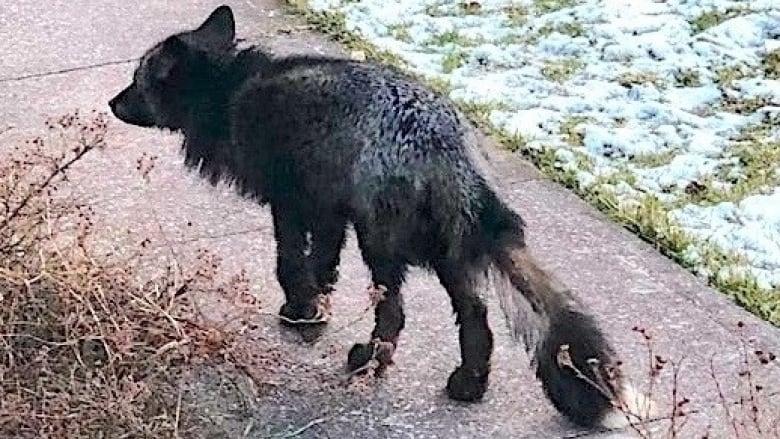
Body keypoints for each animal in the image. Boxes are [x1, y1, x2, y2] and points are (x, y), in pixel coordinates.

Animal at [105, 3, 652, 430]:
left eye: (136, 81)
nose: (111, 102)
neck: (229, 88)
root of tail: (452, 153)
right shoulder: (329, 210)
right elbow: (323, 264)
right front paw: (315, 309)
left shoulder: (293, 202)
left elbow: (291, 262)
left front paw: (302, 312)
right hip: (447, 253)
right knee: (476, 317)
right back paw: (469, 384)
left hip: (382, 243)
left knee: (395, 314)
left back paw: (371, 363)